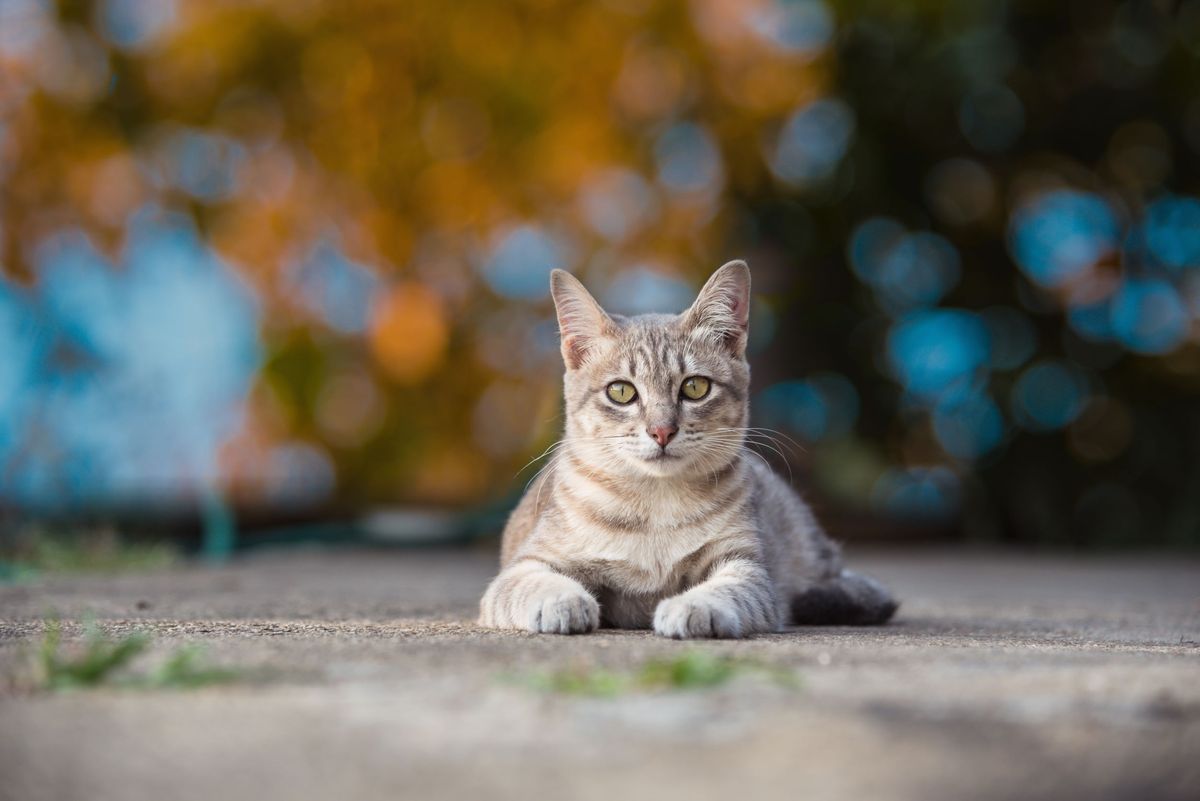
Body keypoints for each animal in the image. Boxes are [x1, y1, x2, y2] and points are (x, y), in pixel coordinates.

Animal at [472, 262, 897, 637]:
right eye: (621, 391)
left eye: (695, 387)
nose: (662, 431)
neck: (654, 507)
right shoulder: (528, 564)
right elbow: (531, 583)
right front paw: (562, 601)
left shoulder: (745, 566)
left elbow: (730, 590)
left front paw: (694, 605)